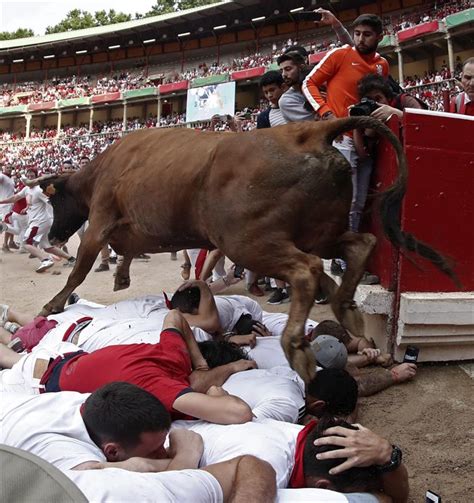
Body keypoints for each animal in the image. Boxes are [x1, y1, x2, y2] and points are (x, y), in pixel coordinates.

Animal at [33, 118, 456, 384]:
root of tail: (309, 131)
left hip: (248, 241)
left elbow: (80, 268)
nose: (52, 234)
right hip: (316, 232)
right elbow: (124, 253)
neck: (102, 169)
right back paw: (347, 310)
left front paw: (52, 304)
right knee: (357, 245)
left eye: (54, 201)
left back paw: (298, 348)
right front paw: (121, 276)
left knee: (306, 269)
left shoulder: (99, 221)